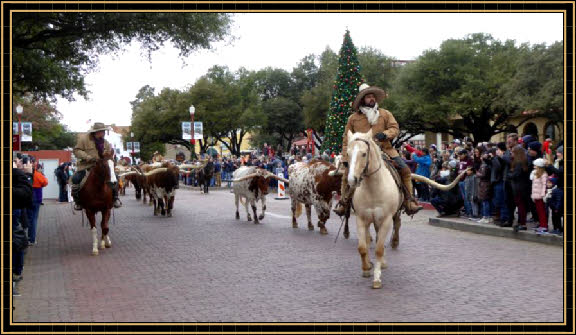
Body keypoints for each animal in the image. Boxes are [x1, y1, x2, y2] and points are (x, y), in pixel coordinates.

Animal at [346, 130, 464, 290]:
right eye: (348, 153)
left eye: (364, 154)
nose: (352, 180)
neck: (373, 188)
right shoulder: (361, 219)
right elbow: (362, 247)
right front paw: (366, 268)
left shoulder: (386, 219)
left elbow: (379, 248)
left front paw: (377, 278)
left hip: (392, 214)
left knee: (395, 226)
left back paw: (392, 246)